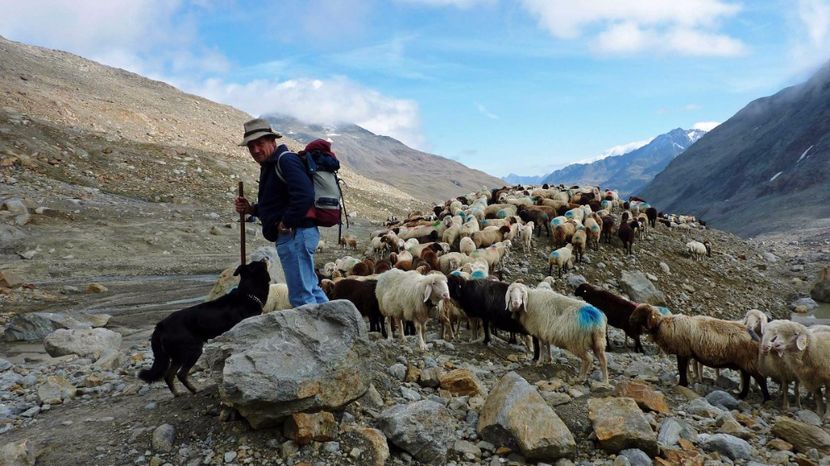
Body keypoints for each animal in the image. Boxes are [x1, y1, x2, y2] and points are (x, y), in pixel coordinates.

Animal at [138, 260, 270, 396]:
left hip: (178, 356)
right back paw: (195, 390)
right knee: (181, 374)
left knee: (169, 375)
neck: (248, 294)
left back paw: (177, 394)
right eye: (256, 264)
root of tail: (161, 326)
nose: (263, 259)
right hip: (193, 350)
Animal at [632, 306, 772, 400]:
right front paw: (684, 383)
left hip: (748, 361)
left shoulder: (683, 351)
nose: (630, 319)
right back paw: (742, 395)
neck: (663, 324)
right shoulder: (684, 352)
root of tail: (753, 335)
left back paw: (766, 398)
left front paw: (682, 384)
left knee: (760, 378)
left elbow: (681, 368)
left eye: (641, 313)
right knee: (747, 378)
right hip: (744, 363)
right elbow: (682, 368)